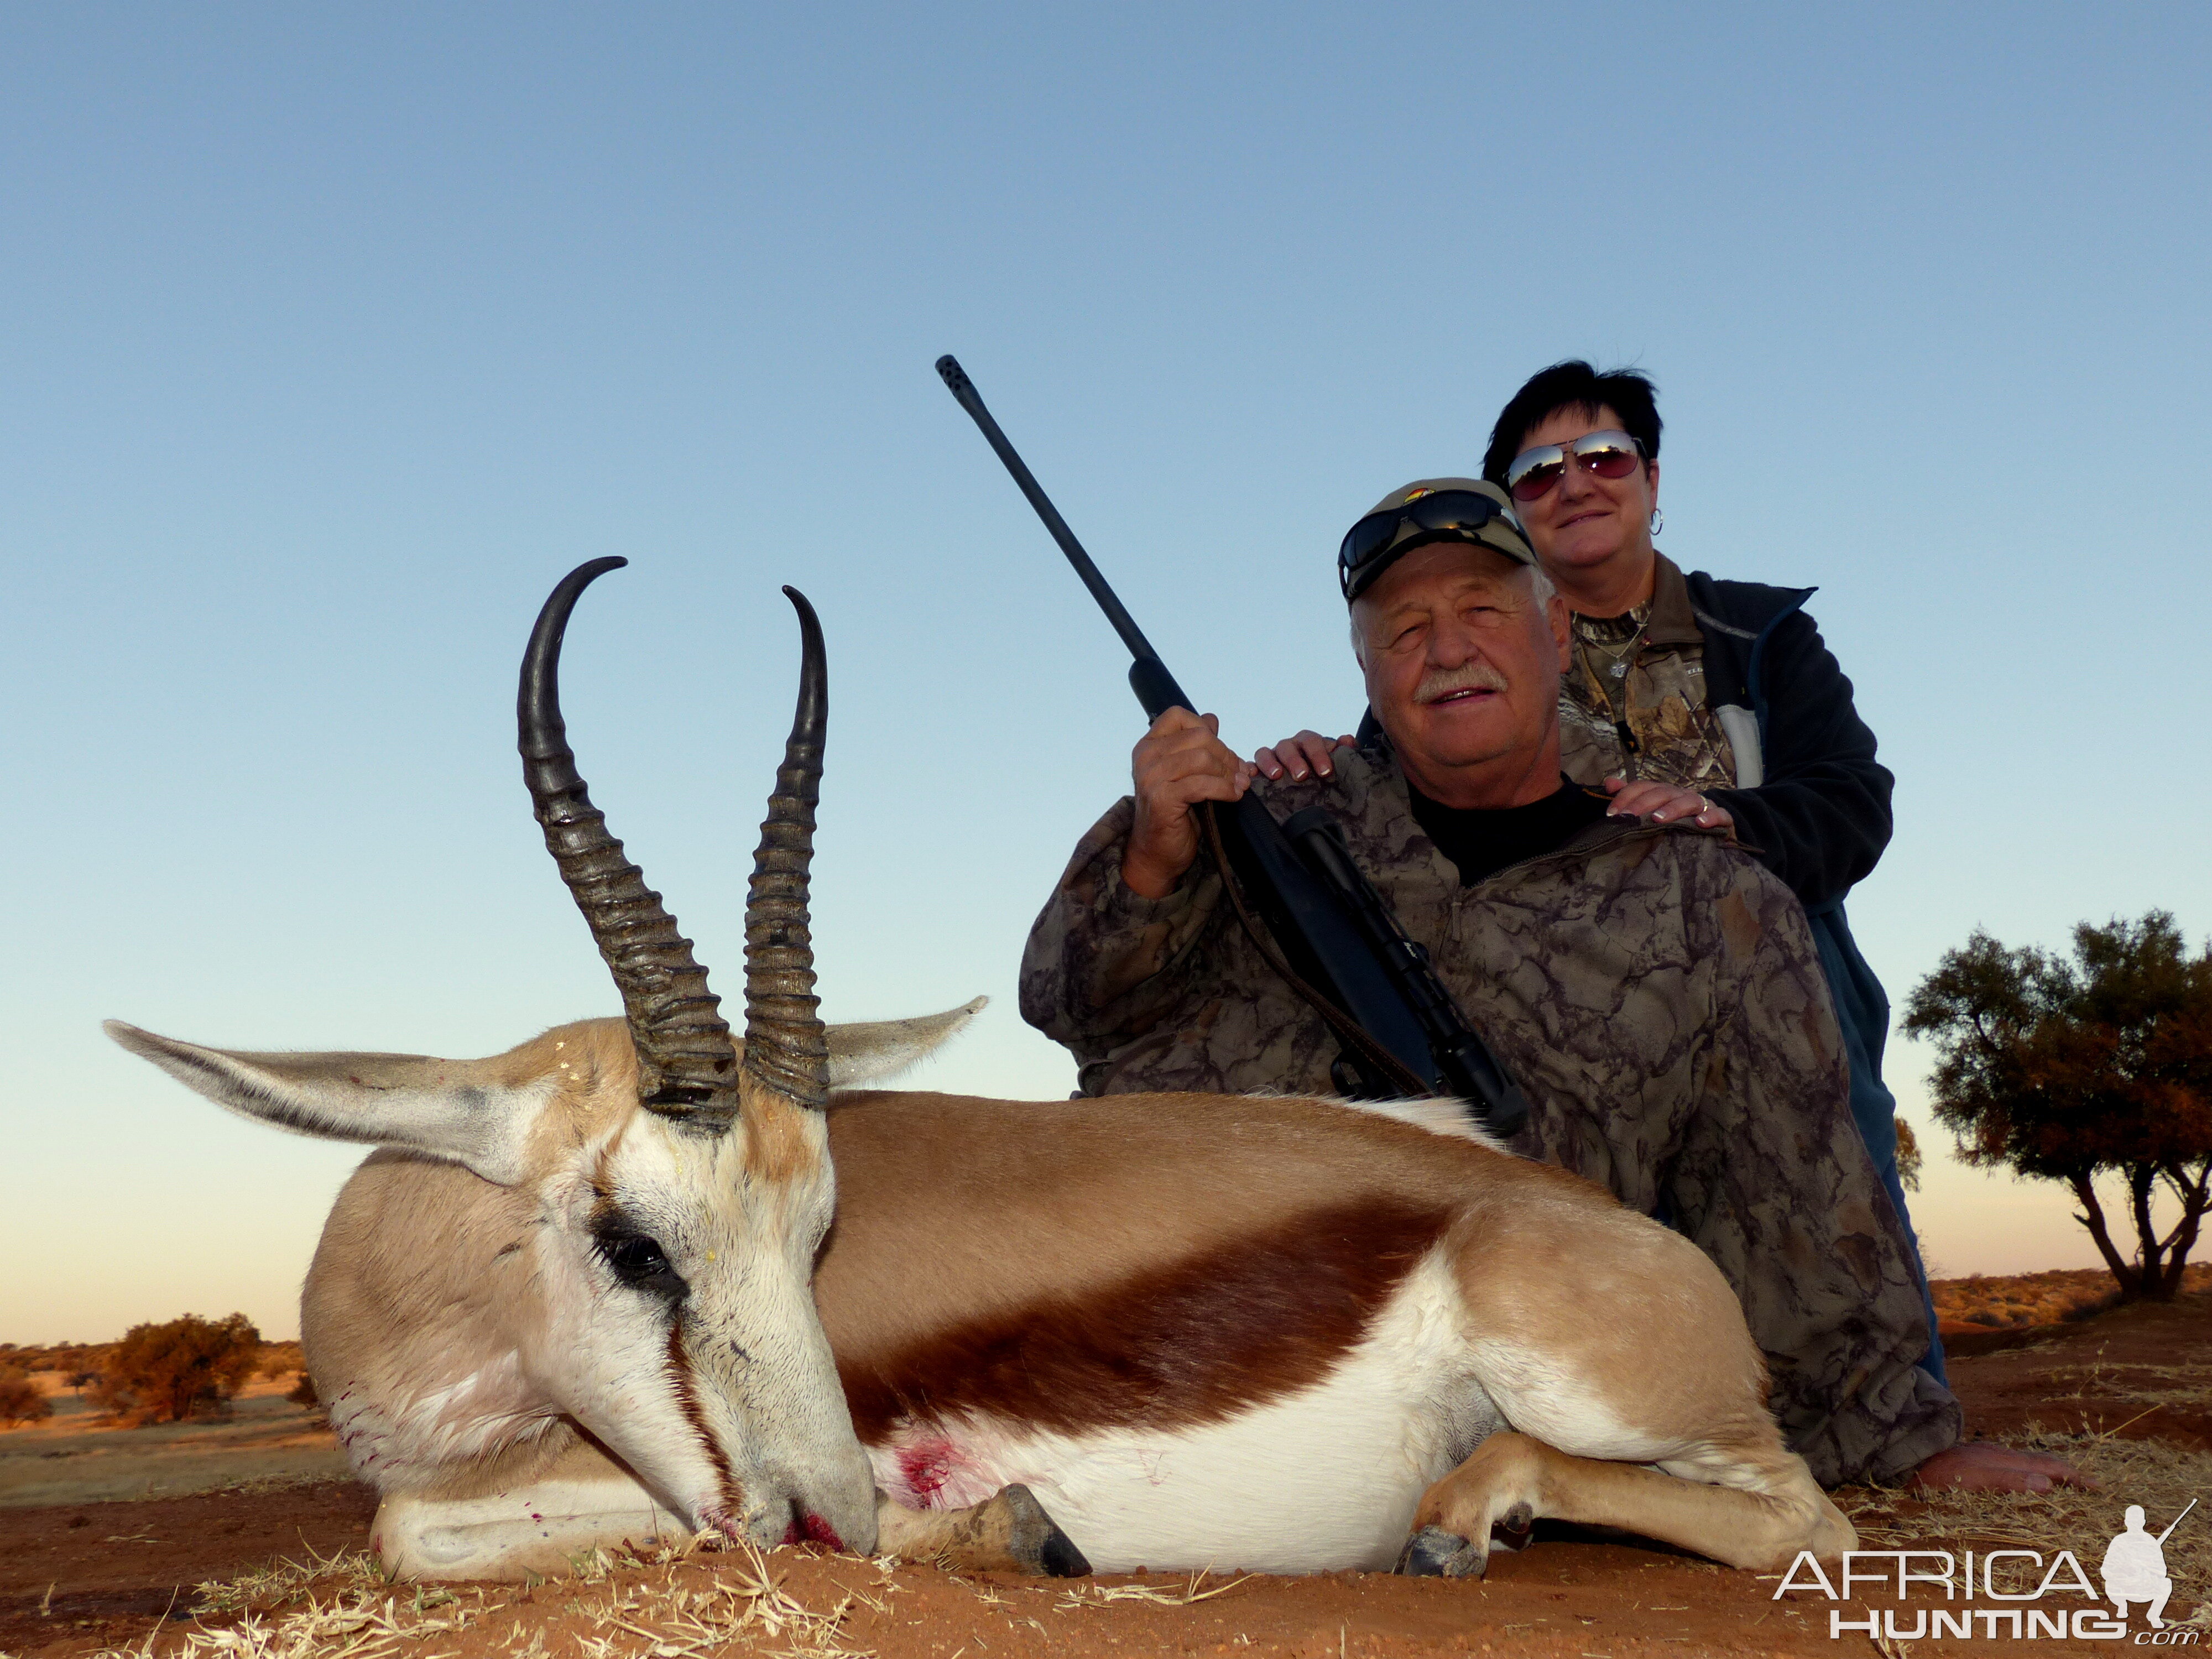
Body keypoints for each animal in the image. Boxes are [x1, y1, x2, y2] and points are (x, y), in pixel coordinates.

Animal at [117, 571, 1849, 1584]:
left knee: (1802, 1511)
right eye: (634, 1243)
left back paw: (1473, 1515)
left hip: (1598, 1383)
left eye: (822, 1234)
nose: (833, 1511)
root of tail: (1540, 1198)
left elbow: (420, 1532)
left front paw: (998, 1526)